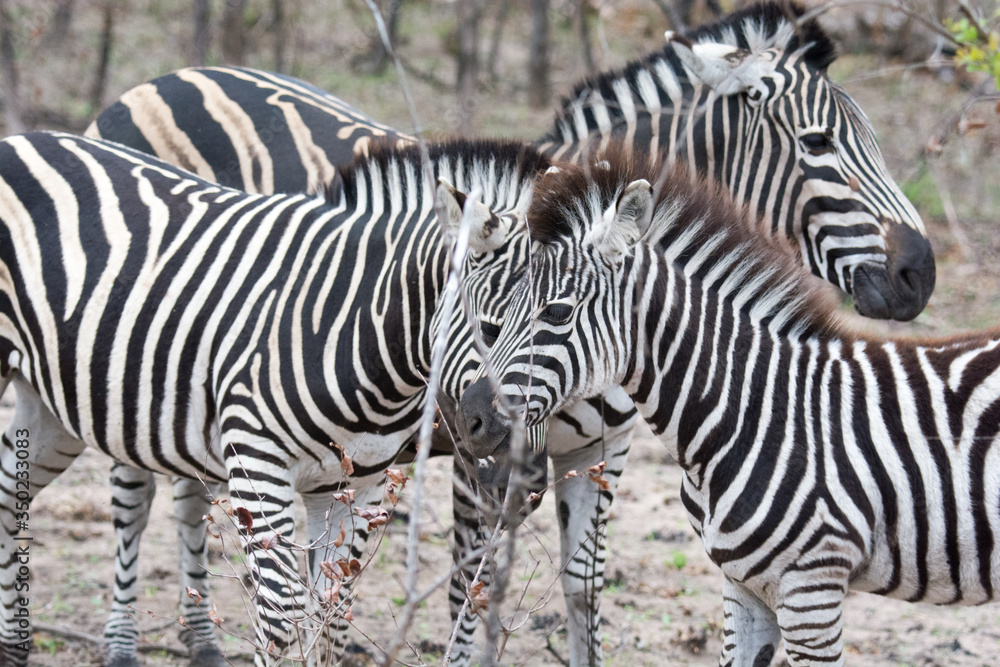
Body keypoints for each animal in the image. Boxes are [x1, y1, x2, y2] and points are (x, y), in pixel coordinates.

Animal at [0, 131, 551, 667]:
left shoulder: (357, 484)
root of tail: (23, 139)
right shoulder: (258, 464)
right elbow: (282, 618)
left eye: (561, 328)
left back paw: (12, 647)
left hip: (54, 407)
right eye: (489, 330)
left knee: (10, 495)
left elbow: (332, 616)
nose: (525, 484)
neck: (355, 326)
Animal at [87, 4, 935, 663]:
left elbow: (583, 589)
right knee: (132, 493)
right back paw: (126, 645)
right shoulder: (481, 452)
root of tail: (157, 80)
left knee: (189, 489)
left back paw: (202, 642)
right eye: (819, 143)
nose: (920, 273)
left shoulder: (602, 450)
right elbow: (471, 588)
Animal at [456, 145, 1000, 666]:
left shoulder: (812, 590)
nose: (469, 418)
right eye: (497, 320)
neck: (747, 414)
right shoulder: (744, 586)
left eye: (555, 313)